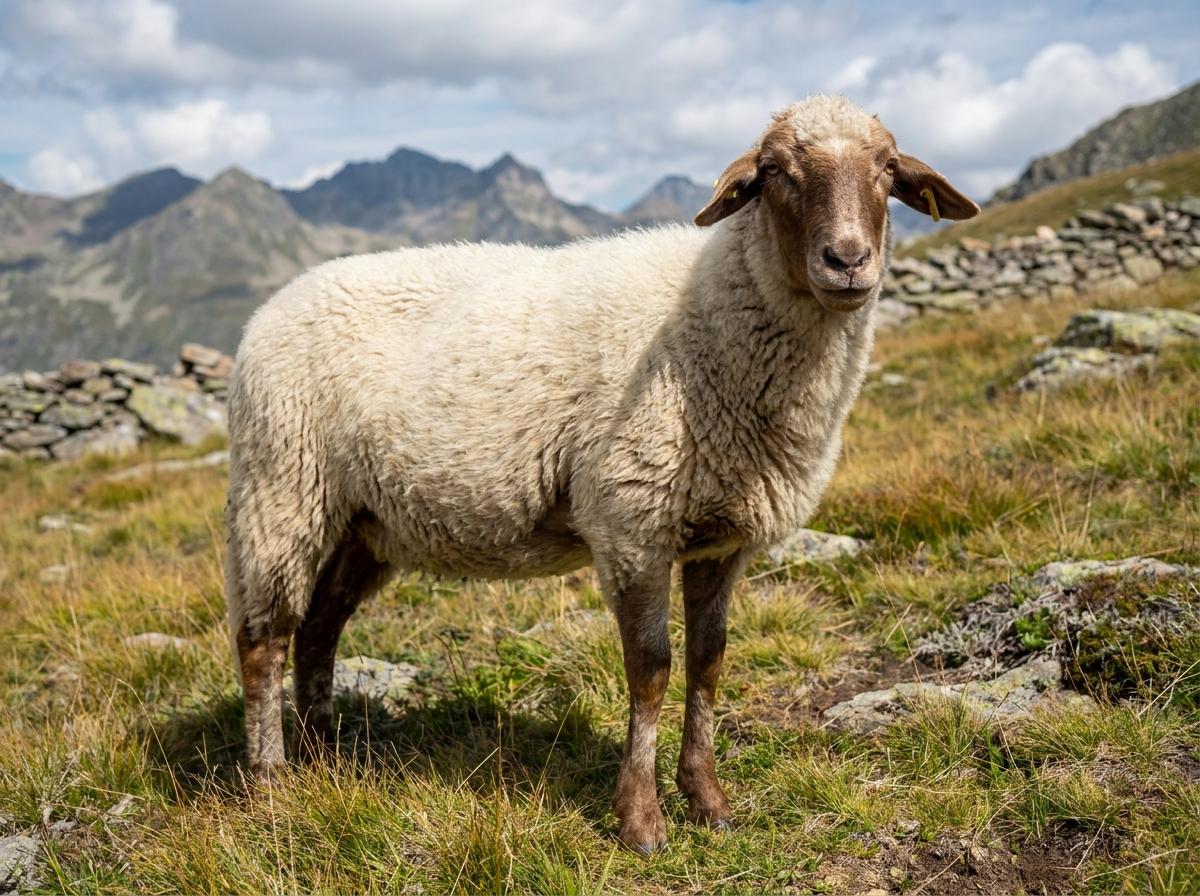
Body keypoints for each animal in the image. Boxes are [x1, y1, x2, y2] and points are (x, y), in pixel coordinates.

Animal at [225, 93, 978, 853]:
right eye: (773, 172)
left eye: (888, 169)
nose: (847, 260)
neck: (713, 314)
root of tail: (269, 310)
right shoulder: (632, 522)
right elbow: (652, 670)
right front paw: (641, 819)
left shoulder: (722, 536)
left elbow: (709, 659)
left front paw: (708, 800)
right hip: (280, 489)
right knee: (264, 639)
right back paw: (271, 786)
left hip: (364, 522)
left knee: (318, 630)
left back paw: (324, 759)